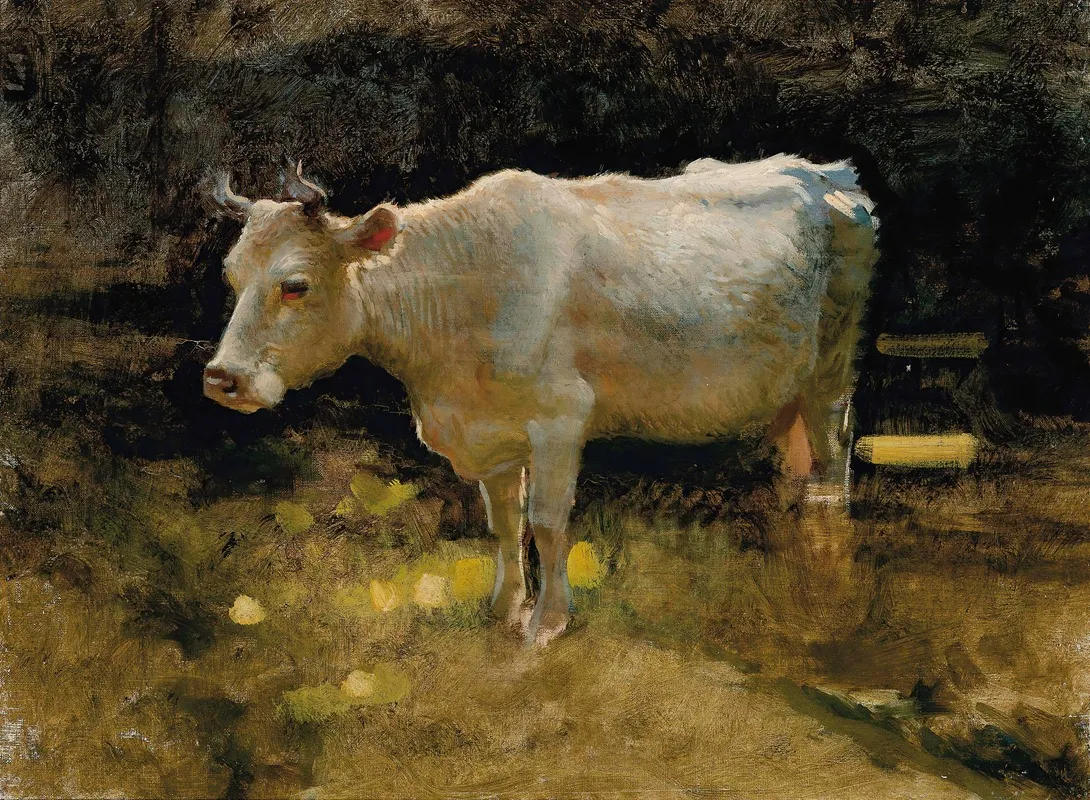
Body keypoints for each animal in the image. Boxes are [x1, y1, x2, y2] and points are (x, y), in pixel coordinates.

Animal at [204, 155, 879, 646]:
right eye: (231, 277)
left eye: (296, 285)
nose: (221, 378)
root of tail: (827, 174)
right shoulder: (491, 434)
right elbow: (505, 523)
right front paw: (503, 608)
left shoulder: (560, 417)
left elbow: (548, 523)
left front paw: (547, 623)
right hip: (785, 385)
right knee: (800, 464)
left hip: (832, 365)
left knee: (832, 461)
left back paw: (829, 561)